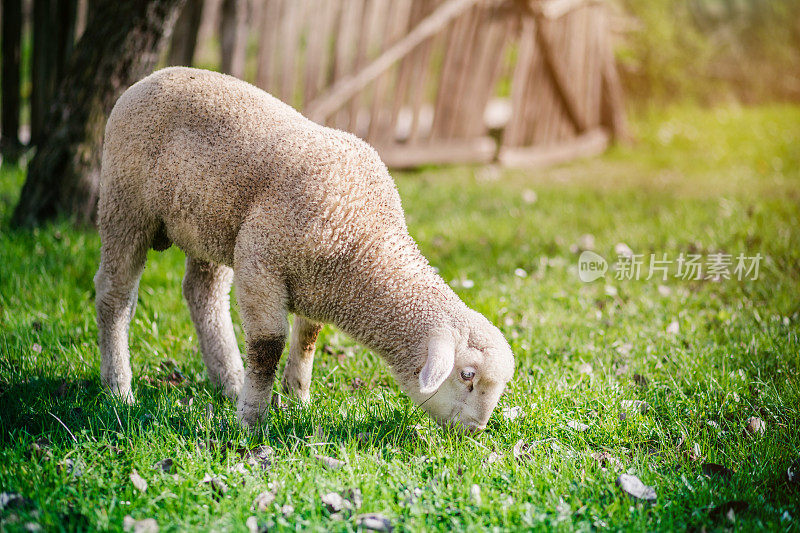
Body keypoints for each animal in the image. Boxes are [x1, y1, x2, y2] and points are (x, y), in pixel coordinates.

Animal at [94, 67, 516, 432]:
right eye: (467, 375)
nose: (476, 430)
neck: (362, 244)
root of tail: (154, 76)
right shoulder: (261, 264)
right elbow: (268, 347)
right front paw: (251, 421)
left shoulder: (314, 285)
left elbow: (309, 339)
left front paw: (297, 400)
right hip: (125, 203)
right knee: (115, 294)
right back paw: (120, 389)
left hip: (211, 226)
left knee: (203, 294)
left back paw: (229, 381)